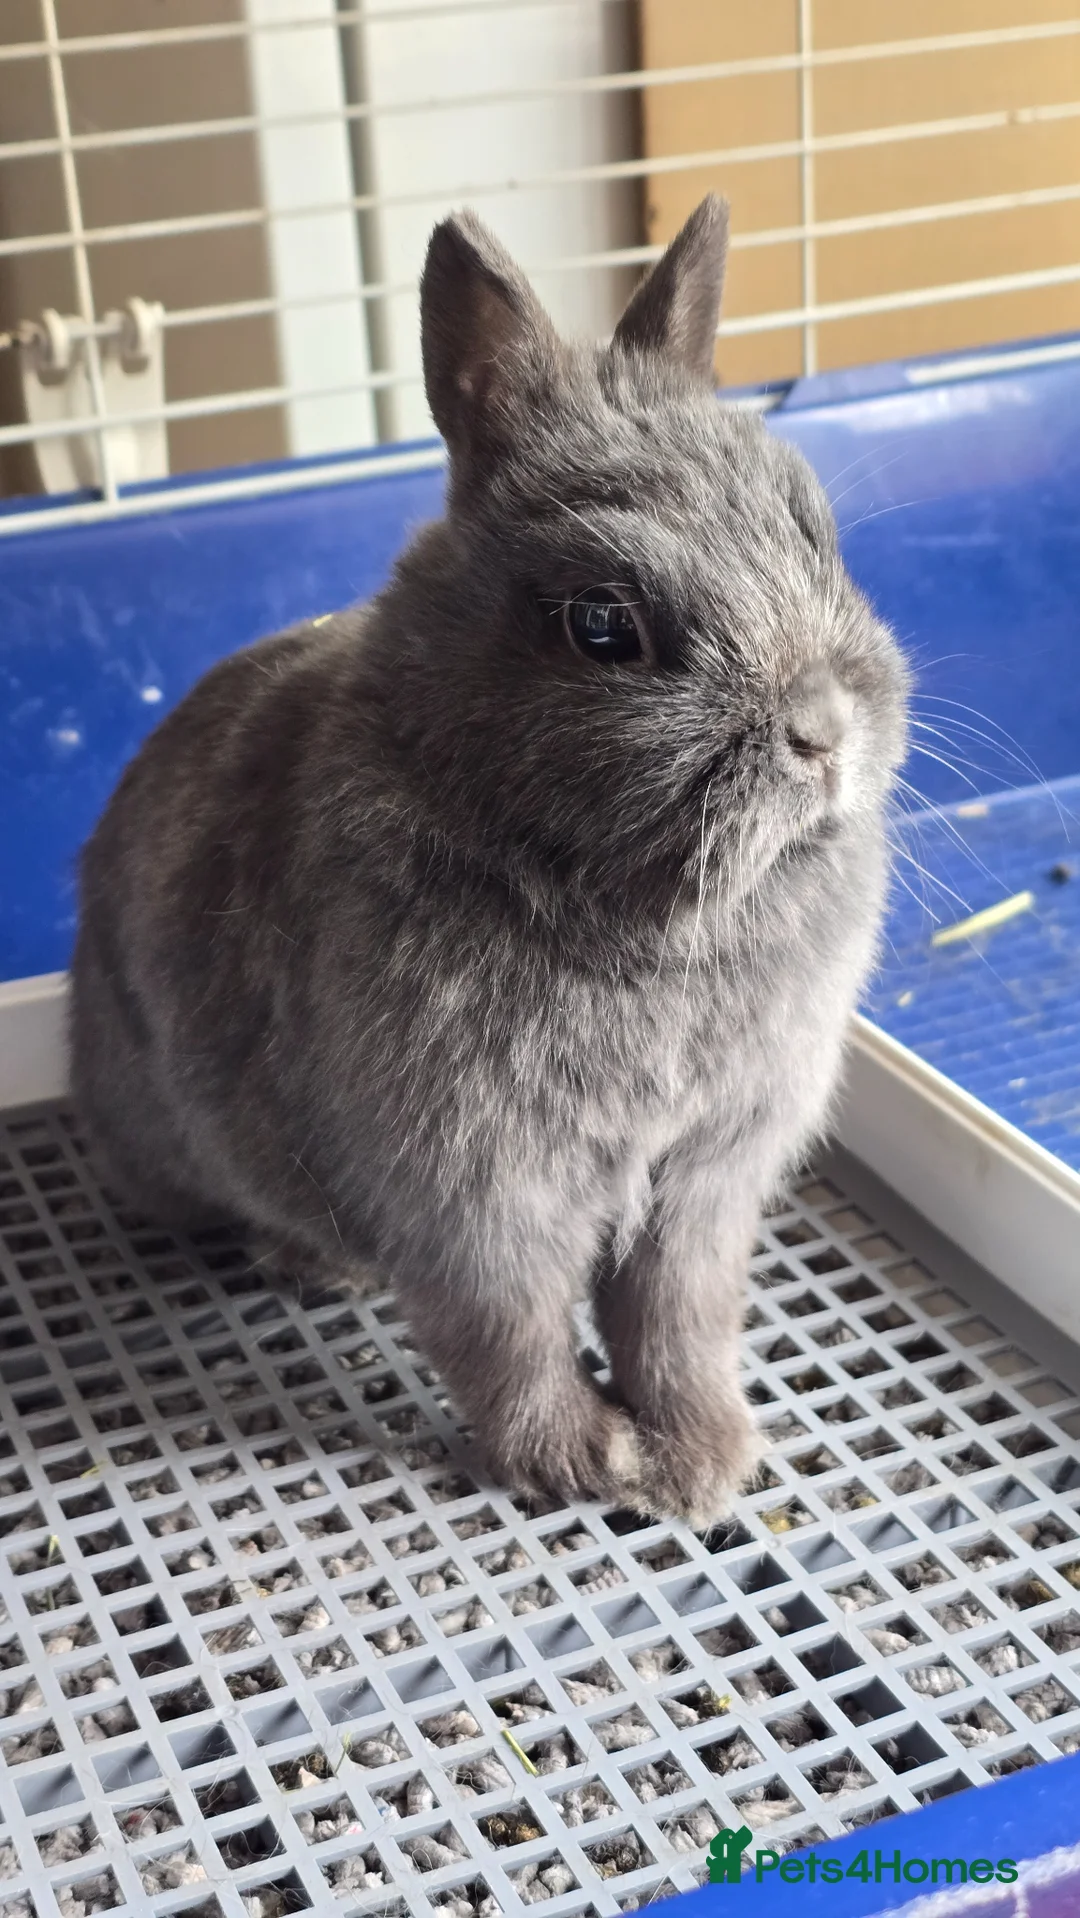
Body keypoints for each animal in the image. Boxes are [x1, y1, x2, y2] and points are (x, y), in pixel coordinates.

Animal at [71, 195, 908, 1525]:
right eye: (603, 626)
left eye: (812, 529)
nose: (823, 733)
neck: (647, 914)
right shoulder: (473, 1192)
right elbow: (505, 1331)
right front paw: (581, 1461)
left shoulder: (704, 1183)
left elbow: (675, 1318)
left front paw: (705, 1461)